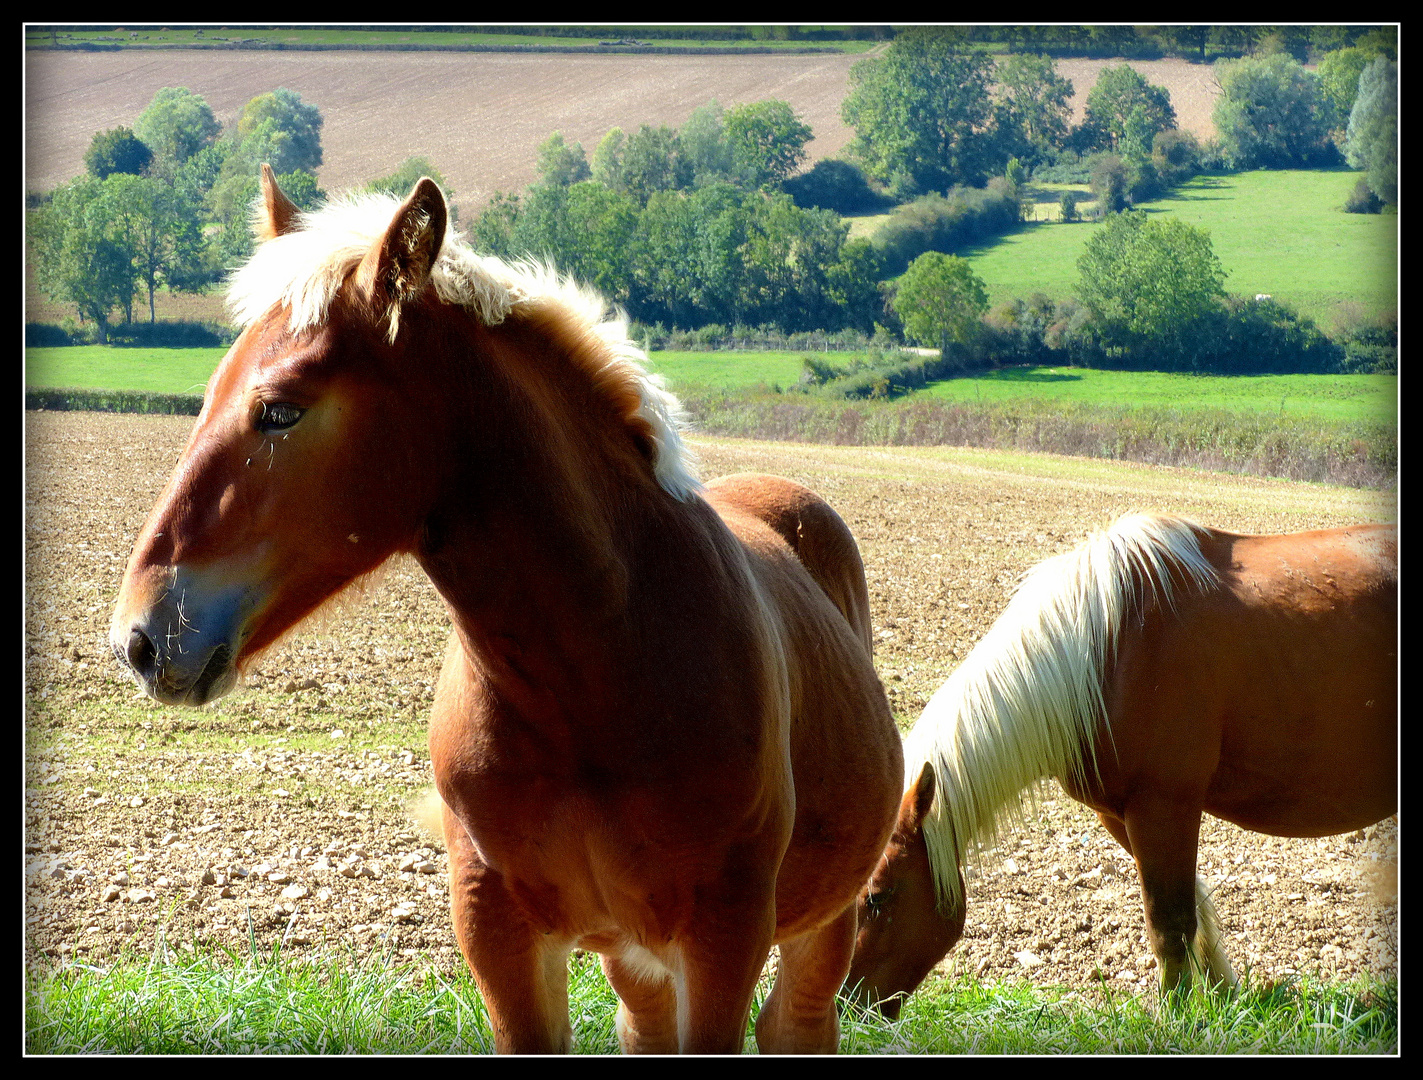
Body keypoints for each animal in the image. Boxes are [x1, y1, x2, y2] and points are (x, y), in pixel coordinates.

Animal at [116, 170, 905, 1058]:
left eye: (280, 408)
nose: (140, 636)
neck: (599, 674)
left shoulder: (722, 937)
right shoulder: (500, 931)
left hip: (817, 926)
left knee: (796, 1020)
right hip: (633, 957)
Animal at [842, 512, 1400, 1018]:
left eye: (878, 896)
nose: (846, 1005)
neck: (1105, 648)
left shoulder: (1165, 806)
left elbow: (1168, 924)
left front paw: (1177, 1018)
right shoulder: (1122, 815)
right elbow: (1193, 907)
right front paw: (1223, 998)